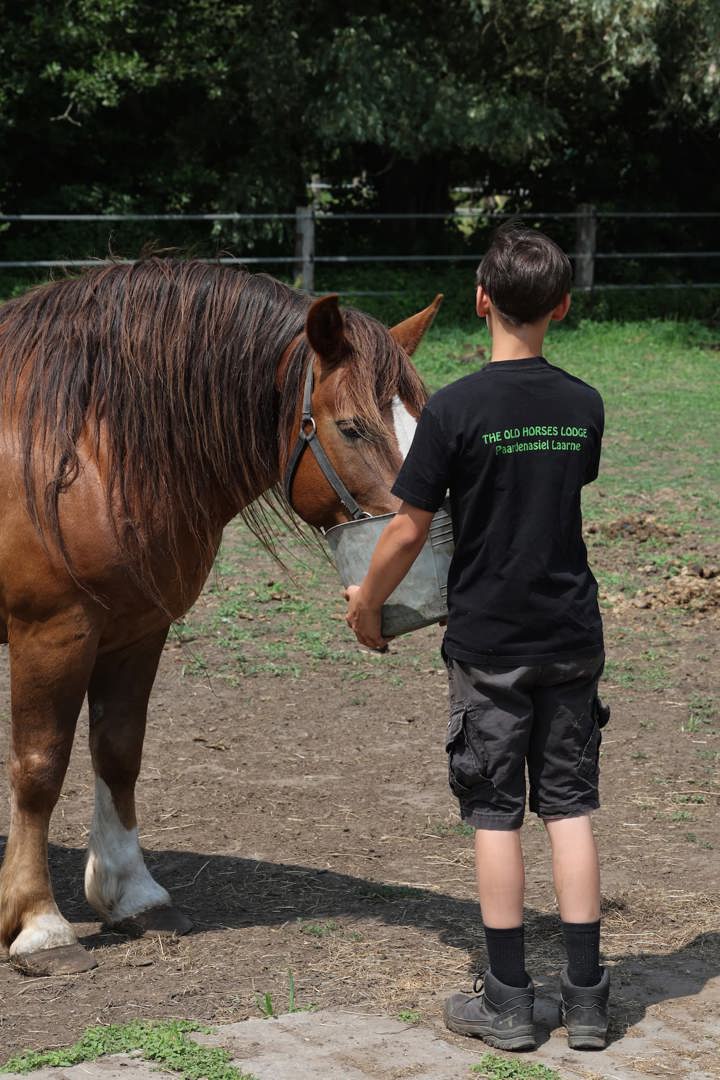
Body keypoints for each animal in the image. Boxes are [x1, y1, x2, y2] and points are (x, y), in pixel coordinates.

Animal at [0, 258, 441, 976]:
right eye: (352, 427)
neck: (86, 450)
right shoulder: (52, 632)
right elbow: (39, 767)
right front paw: (40, 924)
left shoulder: (137, 628)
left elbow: (118, 751)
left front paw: (132, 895)